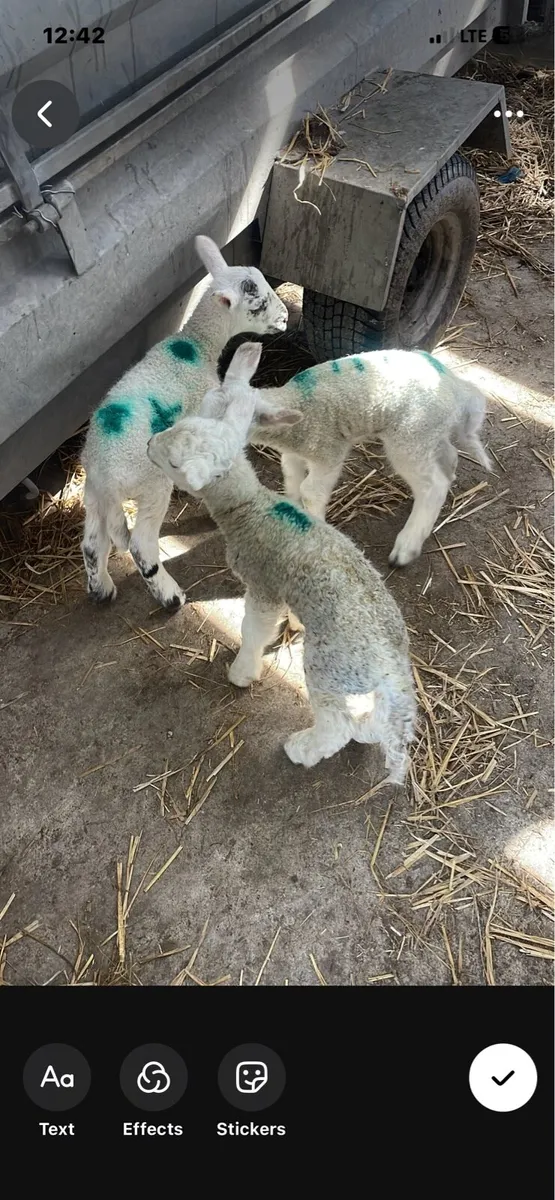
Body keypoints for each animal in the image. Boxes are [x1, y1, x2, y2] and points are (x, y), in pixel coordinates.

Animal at [80, 235, 288, 609]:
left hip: (93, 494)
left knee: (92, 543)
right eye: (258, 302)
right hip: (150, 484)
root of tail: (105, 472)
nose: (286, 318)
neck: (195, 345)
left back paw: (101, 589)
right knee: (140, 545)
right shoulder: (208, 409)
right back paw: (170, 596)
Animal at [146, 341, 417, 781]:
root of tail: (393, 667)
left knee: (335, 724)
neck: (251, 508)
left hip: (328, 667)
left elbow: (253, 629)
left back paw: (302, 749)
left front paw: (241, 673)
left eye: (173, 464)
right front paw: (291, 626)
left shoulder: (263, 585)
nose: (149, 443)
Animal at [243, 348, 491, 569]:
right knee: (448, 458)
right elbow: (291, 480)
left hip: (410, 436)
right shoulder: (294, 453)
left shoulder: (328, 451)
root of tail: (457, 386)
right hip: (429, 434)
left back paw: (406, 547)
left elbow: (310, 491)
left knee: (434, 485)